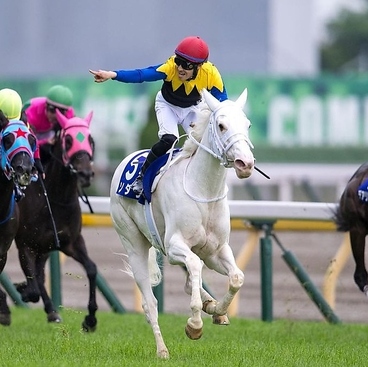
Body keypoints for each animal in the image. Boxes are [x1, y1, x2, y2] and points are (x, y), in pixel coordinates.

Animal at [14, 109, 98, 330]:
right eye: (68, 140)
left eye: (91, 140)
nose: (85, 174)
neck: (55, 198)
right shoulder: (25, 244)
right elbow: (33, 286)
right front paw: (23, 290)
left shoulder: (70, 242)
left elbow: (91, 269)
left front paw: (90, 319)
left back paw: (52, 312)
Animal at [110, 89, 253, 360]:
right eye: (221, 126)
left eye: (247, 125)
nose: (246, 163)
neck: (203, 190)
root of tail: (125, 161)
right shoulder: (174, 245)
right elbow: (195, 268)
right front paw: (195, 325)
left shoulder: (216, 250)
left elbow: (237, 277)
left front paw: (218, 310)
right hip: (131, 240)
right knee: (150, 304)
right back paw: (162, 350)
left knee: (189, 282)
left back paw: (210, 304)